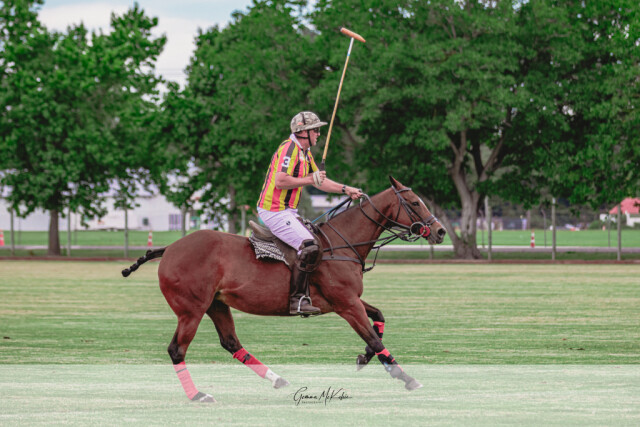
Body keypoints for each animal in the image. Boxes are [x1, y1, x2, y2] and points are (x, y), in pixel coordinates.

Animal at [122, 176, 447, 402]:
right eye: (414, 202)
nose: (440, 231)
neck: (342, 244)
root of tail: (168, 249)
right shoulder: (346, 303)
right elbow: (375, 338)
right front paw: (405, 377)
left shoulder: (346, 300)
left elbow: (378, 317)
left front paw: (364, 358)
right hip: (191, 309)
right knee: (177, 349)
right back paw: (199, 395)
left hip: (216, 303)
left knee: (231, 342)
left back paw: (277, 379)